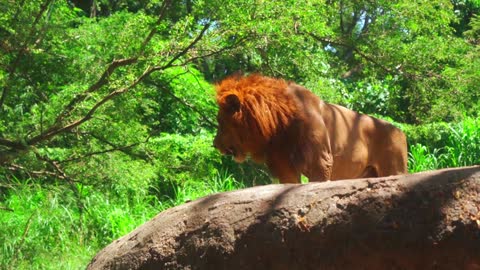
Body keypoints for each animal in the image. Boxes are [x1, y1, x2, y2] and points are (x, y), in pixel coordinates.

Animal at [213, 74, 404, 184]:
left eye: (220, 122)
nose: (214, 144)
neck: (279, 126)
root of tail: (400, 131)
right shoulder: (284, 166)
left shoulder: (320, 162)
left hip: (394, 169)